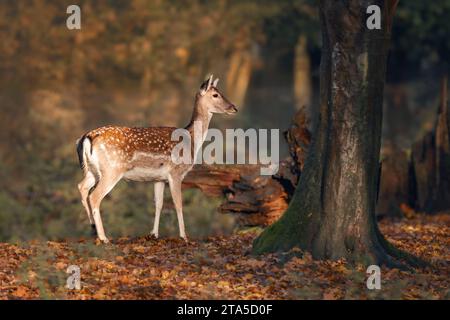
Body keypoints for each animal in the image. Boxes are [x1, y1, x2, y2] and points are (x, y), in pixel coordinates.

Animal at [75, 76, 237, 244]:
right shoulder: (176, 173)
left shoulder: (158, 178)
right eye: (215, 95)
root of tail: (87, 137)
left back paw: (93, 228)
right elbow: (178, 204)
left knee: (82, 187)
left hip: (92, 170)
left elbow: (158, 204)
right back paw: (104, 237)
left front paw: (154, 234)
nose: (234, 108)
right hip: (112, 169)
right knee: (94, 196)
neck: (192, 140)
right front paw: (184, 236)